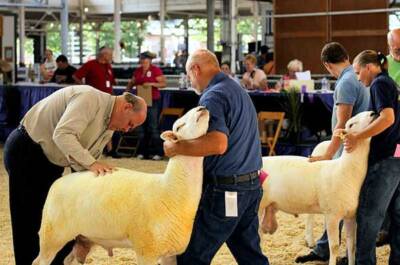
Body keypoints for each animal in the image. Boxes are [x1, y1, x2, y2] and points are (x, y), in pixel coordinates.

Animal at [32, 106, 209, 264]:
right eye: (179, 126)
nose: (202, 109)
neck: (169, 188)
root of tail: (58, 182)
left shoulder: (170, 255)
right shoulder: (146, 250)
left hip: (85, 237)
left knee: (69, 260)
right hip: (52, 236)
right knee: (40, 261)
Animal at [260, 111, 376, 264]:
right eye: (351, 124)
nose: (373, 113)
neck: (344, 170)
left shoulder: (350, 215)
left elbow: (351, 245)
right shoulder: (332, 215)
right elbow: (334, 246)